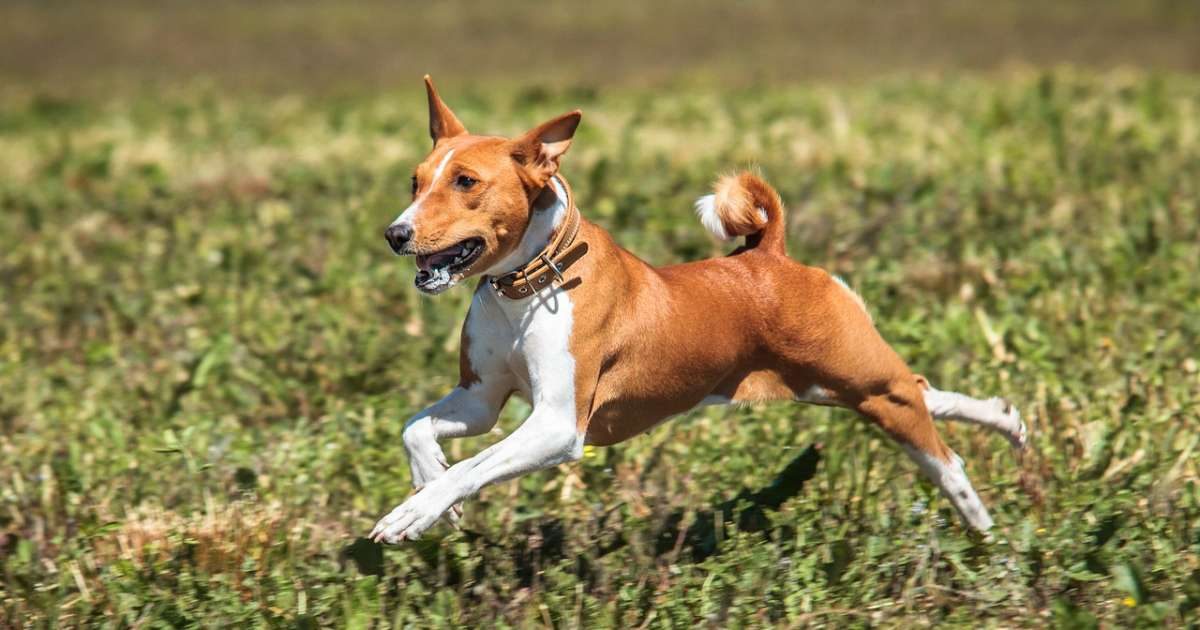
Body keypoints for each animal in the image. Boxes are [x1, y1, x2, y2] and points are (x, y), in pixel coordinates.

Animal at [369, 77, 1027, 540]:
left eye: (466, 182)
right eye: (415, 181)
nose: (395, 235)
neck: (525, 290)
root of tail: (770, 253)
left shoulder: (557, 424)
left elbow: (471, 467)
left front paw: (415, 512)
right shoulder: (481, 398)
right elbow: (417, 431)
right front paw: (433, 496)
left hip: (862, 382)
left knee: (941, 451)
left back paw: (979, 522)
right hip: (833, 385)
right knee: (925, 391)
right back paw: (1006, 420)